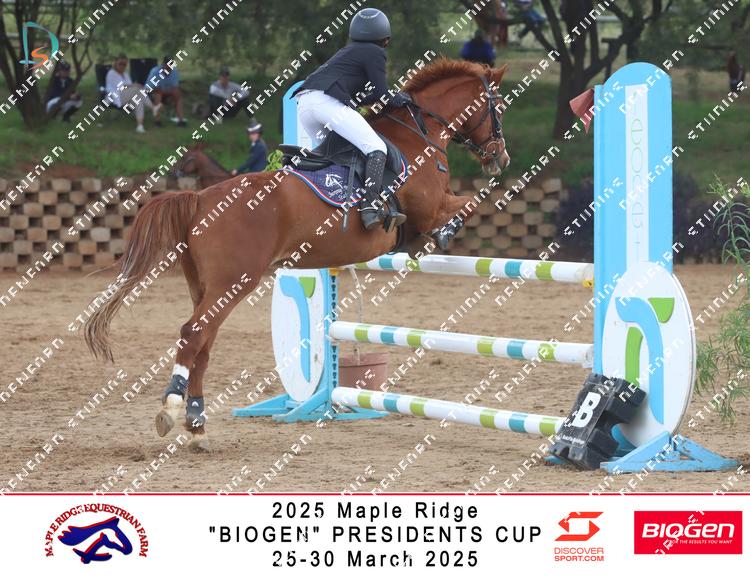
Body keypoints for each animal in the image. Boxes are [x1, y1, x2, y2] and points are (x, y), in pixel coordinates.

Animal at [83, 59, 511, 452]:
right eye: (500, 108)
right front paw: (440, 236)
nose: (501, 159)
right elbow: (470, 203)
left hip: (205, 286)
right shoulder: (430, 208)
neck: (417, 137)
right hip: (234, 282)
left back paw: (198, 426)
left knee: (203, 343)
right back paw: (172, 409)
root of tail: (200, 198)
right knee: (193, 333)